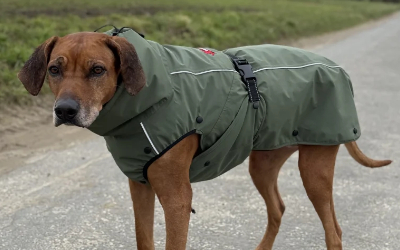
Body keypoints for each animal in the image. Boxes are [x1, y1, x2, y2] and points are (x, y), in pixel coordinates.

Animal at [18, 31, 390, 250]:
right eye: (54, 70)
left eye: (98, 70)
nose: (65, 110)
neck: (147, 95)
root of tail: (337, 68)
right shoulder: (140, 185)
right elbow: (143, 238)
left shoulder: (177, 199)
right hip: (263, 162)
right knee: (278, 209)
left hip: (314, 169)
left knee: (333, 231)